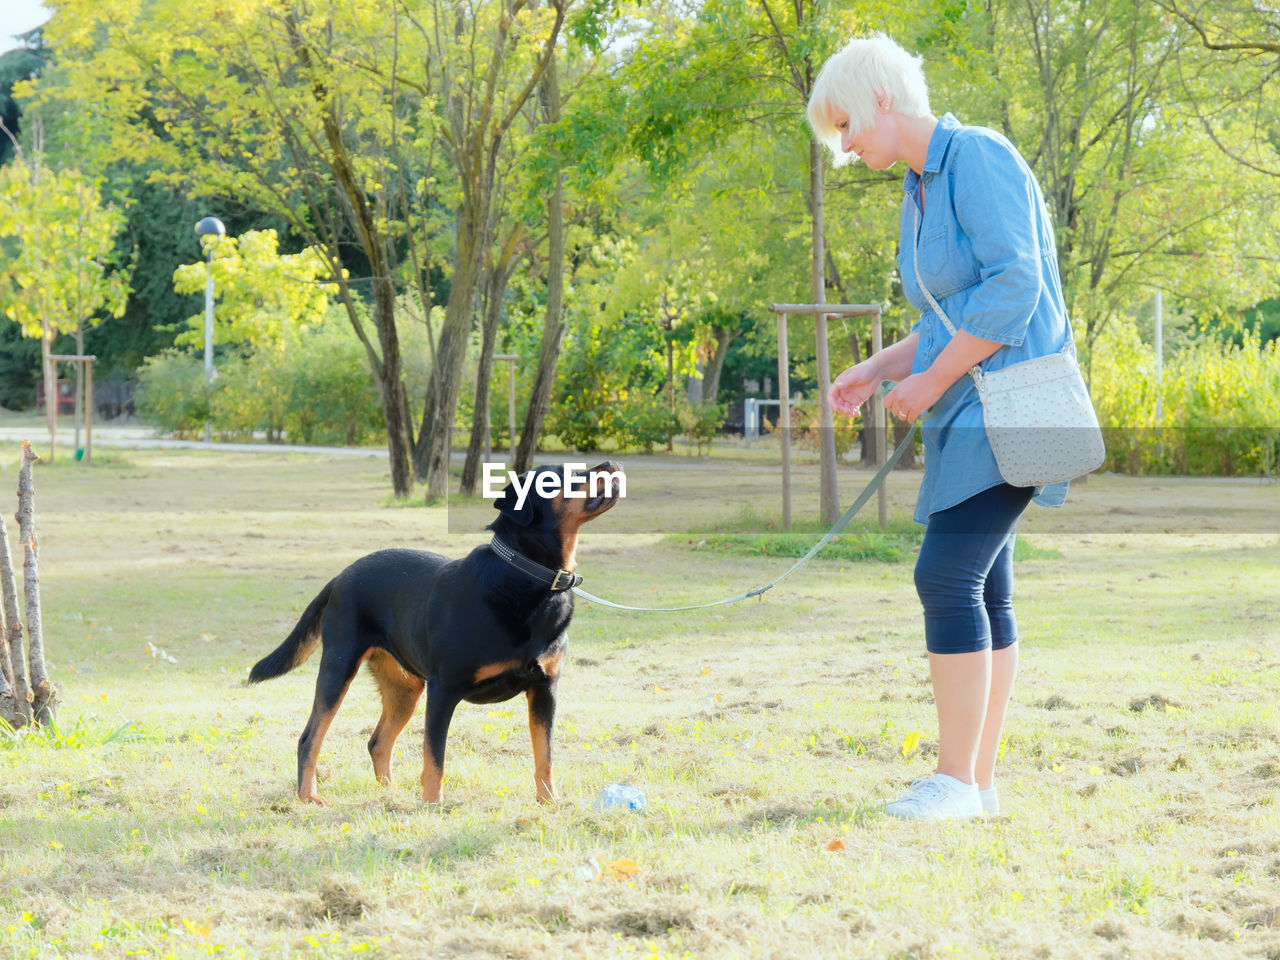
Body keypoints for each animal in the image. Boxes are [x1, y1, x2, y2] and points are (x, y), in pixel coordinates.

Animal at [247, 463, 622, 808]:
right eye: (561, 476)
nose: (610, 464)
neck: (529, 579)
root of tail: (339, 577)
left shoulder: (545, 688)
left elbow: (545, 755)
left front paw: (549, 802)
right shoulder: (443, 688)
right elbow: (434, 756)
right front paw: (431, 806)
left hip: (405, 687)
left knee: (378, 741)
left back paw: (391, 795)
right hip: (338, 668)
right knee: (310, 738)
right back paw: (309, 796)